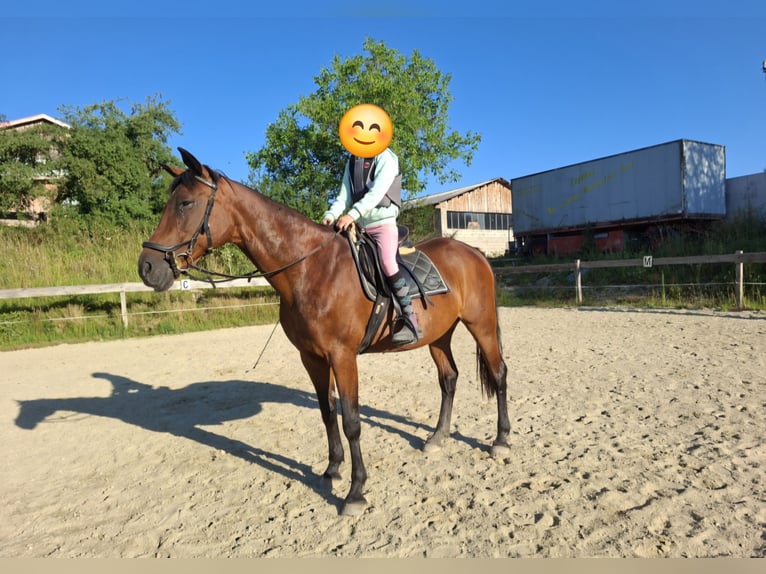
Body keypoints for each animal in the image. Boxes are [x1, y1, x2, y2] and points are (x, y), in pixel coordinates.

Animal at [138, 148, 511, 516]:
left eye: (186, 204)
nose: (147, 267)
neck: (310, 269)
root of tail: (473, 252)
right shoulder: (312, 358)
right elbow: (327, 412)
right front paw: (332, 470)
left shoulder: (342, 357)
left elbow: (351, 421)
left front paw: (356, 492)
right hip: (438, 336)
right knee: (448, 378)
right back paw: (437, 437)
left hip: (481, 326)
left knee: (498, 374)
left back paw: (501, 440)